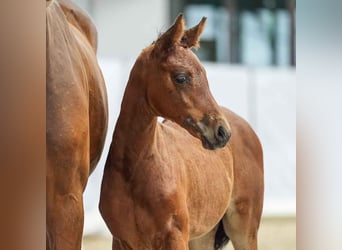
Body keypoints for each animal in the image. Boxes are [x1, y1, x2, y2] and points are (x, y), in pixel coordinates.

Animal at [99, 14, 264, 249]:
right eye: (181, 77)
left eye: (205, 74)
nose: (222, 132)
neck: (135, 170)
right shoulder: (122, 241)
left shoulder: (175, 237)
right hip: (202, 236)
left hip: (243, 230)